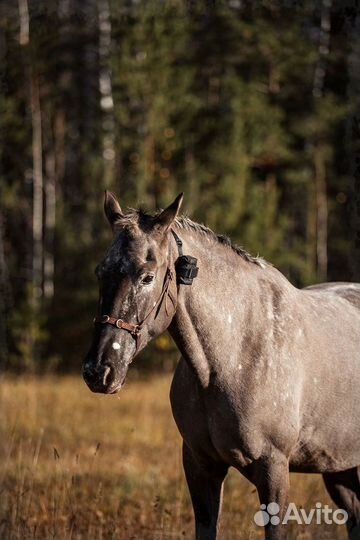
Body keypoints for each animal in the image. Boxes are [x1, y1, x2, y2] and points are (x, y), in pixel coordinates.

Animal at [82, 193, 360, 540]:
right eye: (100, 272)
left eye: (147, 277)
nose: (99, 370)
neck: (233, 356)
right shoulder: (201, 466)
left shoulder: (274, 469)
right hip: (340, 468)